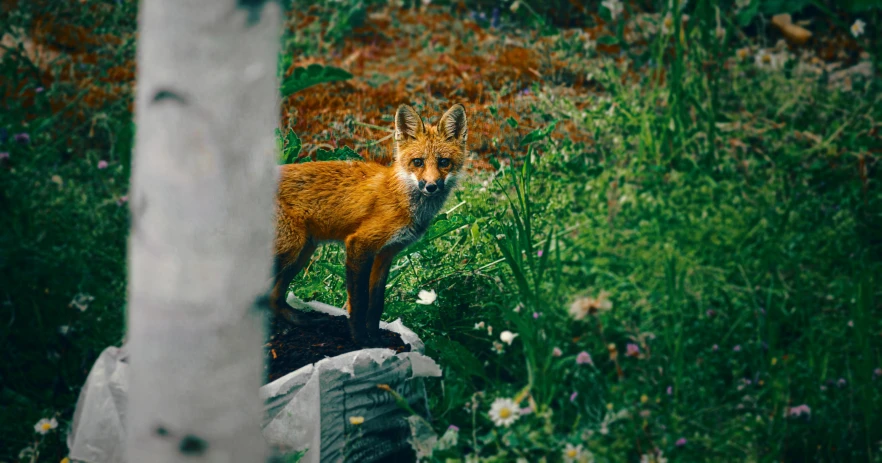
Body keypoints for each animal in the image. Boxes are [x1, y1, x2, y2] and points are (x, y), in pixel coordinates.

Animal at [270, 103, 468, 346]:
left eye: (443, 162)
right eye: (418, 162)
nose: (430, 186)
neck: (400, 198)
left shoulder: (386, 254)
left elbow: (376, 304)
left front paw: (376, 338)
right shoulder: (359, 245)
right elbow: (359, 301)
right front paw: (360, 340)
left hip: (302, 252)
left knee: (274, 297)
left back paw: (301, 323)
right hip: (291, 248)